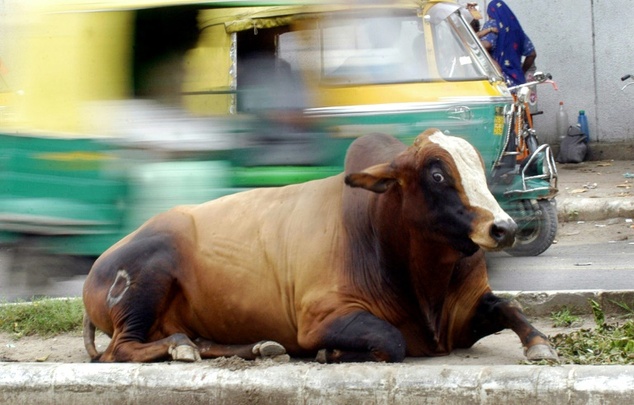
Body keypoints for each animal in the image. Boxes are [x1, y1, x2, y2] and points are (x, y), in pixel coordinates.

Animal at [84, 130, 556, 362]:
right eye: (438, 175)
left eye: (477, 167)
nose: (503, 228)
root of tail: (96, 269)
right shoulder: (321, 319)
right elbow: (391, 341)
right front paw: (328, 353)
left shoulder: (466, 311)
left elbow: (511, 307)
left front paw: (539, 344)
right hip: (146, 278)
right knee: (118, 350)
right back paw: (181, 347)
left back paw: (256, 348)